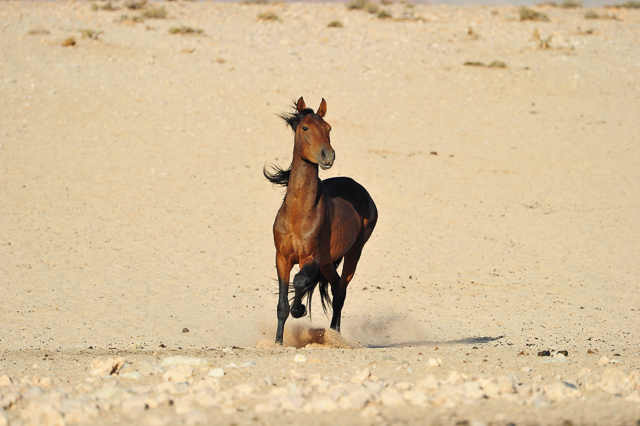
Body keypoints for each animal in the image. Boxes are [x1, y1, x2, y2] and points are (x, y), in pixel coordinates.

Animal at [264, 97, 378, 345]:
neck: (298, 213)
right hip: (327, 261)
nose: (328, 155)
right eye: (305, 128)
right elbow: (281, 306)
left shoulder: (310, 258)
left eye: (328, 128)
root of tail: (359, 188)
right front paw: (278, 342)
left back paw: (335, 335)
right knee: (335, 285)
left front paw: (300, 310)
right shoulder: (282, 258)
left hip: (354, 252)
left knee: (341, 291)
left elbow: (299, 281)